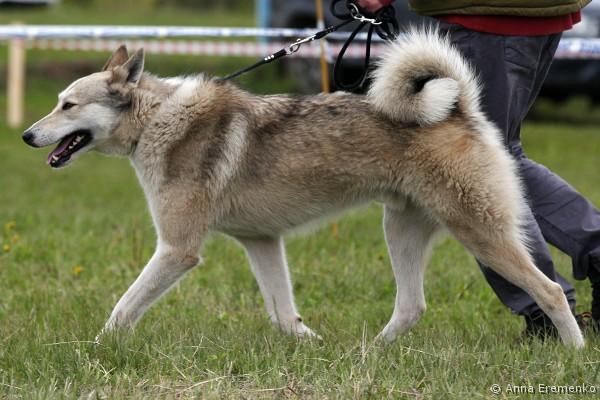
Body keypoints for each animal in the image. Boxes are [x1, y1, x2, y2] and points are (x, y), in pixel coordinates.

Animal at [22, 29, 584, 347]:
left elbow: (122, 309)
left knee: (552, 291)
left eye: (68, 106)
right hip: (400, 230)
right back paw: (369, 353)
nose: (27, 135)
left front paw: (95, 350)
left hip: (479, 234)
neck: (159, 119)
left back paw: (575, 357)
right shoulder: (261, 242)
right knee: (411, 306)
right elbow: (283, 314)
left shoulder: (177, 251)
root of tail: (460, 107)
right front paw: (309, 344)